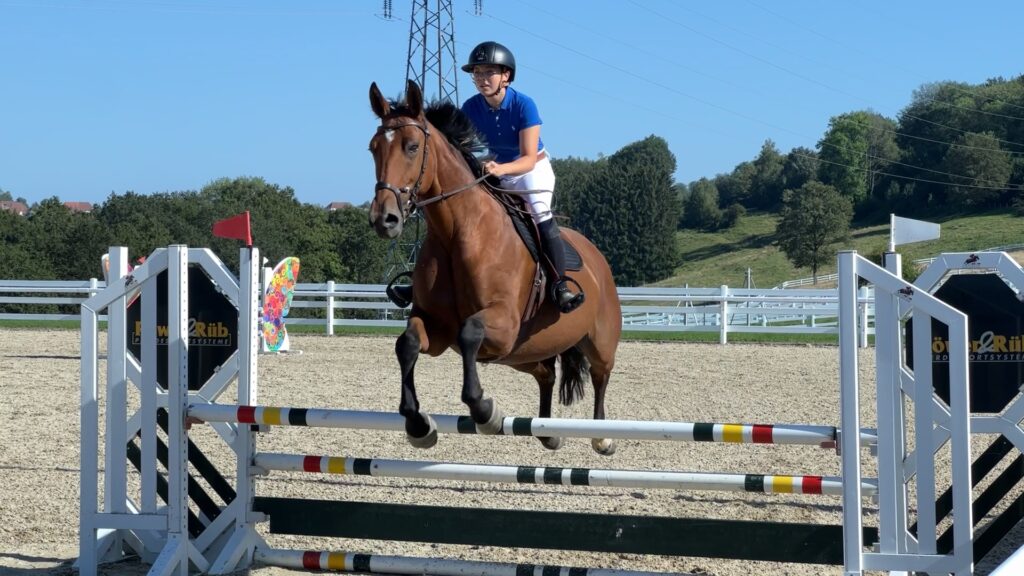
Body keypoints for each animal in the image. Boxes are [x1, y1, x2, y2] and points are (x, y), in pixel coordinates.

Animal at [368, 79, 622, 453]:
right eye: (373, 149)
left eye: (412, 147)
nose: (385, 220)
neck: (456, 232)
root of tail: (597, 259)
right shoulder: (437, 328)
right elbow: (409, 343)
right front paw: (417, 423)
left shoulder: (503, 325)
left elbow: (470, 332)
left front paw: (485, 410)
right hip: (525, 354)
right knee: (547, 374)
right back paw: (548, 433)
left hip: (597, 340)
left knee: (600, 374)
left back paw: (602, 437)